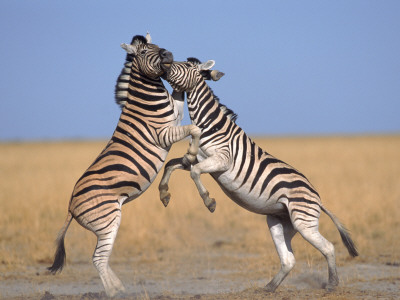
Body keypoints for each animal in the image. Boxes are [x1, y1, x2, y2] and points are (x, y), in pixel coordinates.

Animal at [47, 35, 206, 298]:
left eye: (157, 45)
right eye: (142, 52)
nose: (168, 55)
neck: (147, 101)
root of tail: (70, 206)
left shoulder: (174, 117)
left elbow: (180, 103)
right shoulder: (163, 133)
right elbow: (195, 129)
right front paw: (191, 154)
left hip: (106, 223)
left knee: (101, 258)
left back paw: (120, 287)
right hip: (108, 220)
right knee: (98, 258)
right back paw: (114, 292)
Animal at [158, 58, 358, 292]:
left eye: (187, 66)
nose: (164, 64)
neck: (211, 125)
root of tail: (317, 197)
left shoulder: (222, 159)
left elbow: (194, 173)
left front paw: (209, 202)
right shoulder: (197, 158)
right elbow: (171, 165)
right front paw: (164, 194)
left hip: (303, 221)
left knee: (328, 247)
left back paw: (332, 284)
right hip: (280, 222)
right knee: (288, 259)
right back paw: (269, 287)